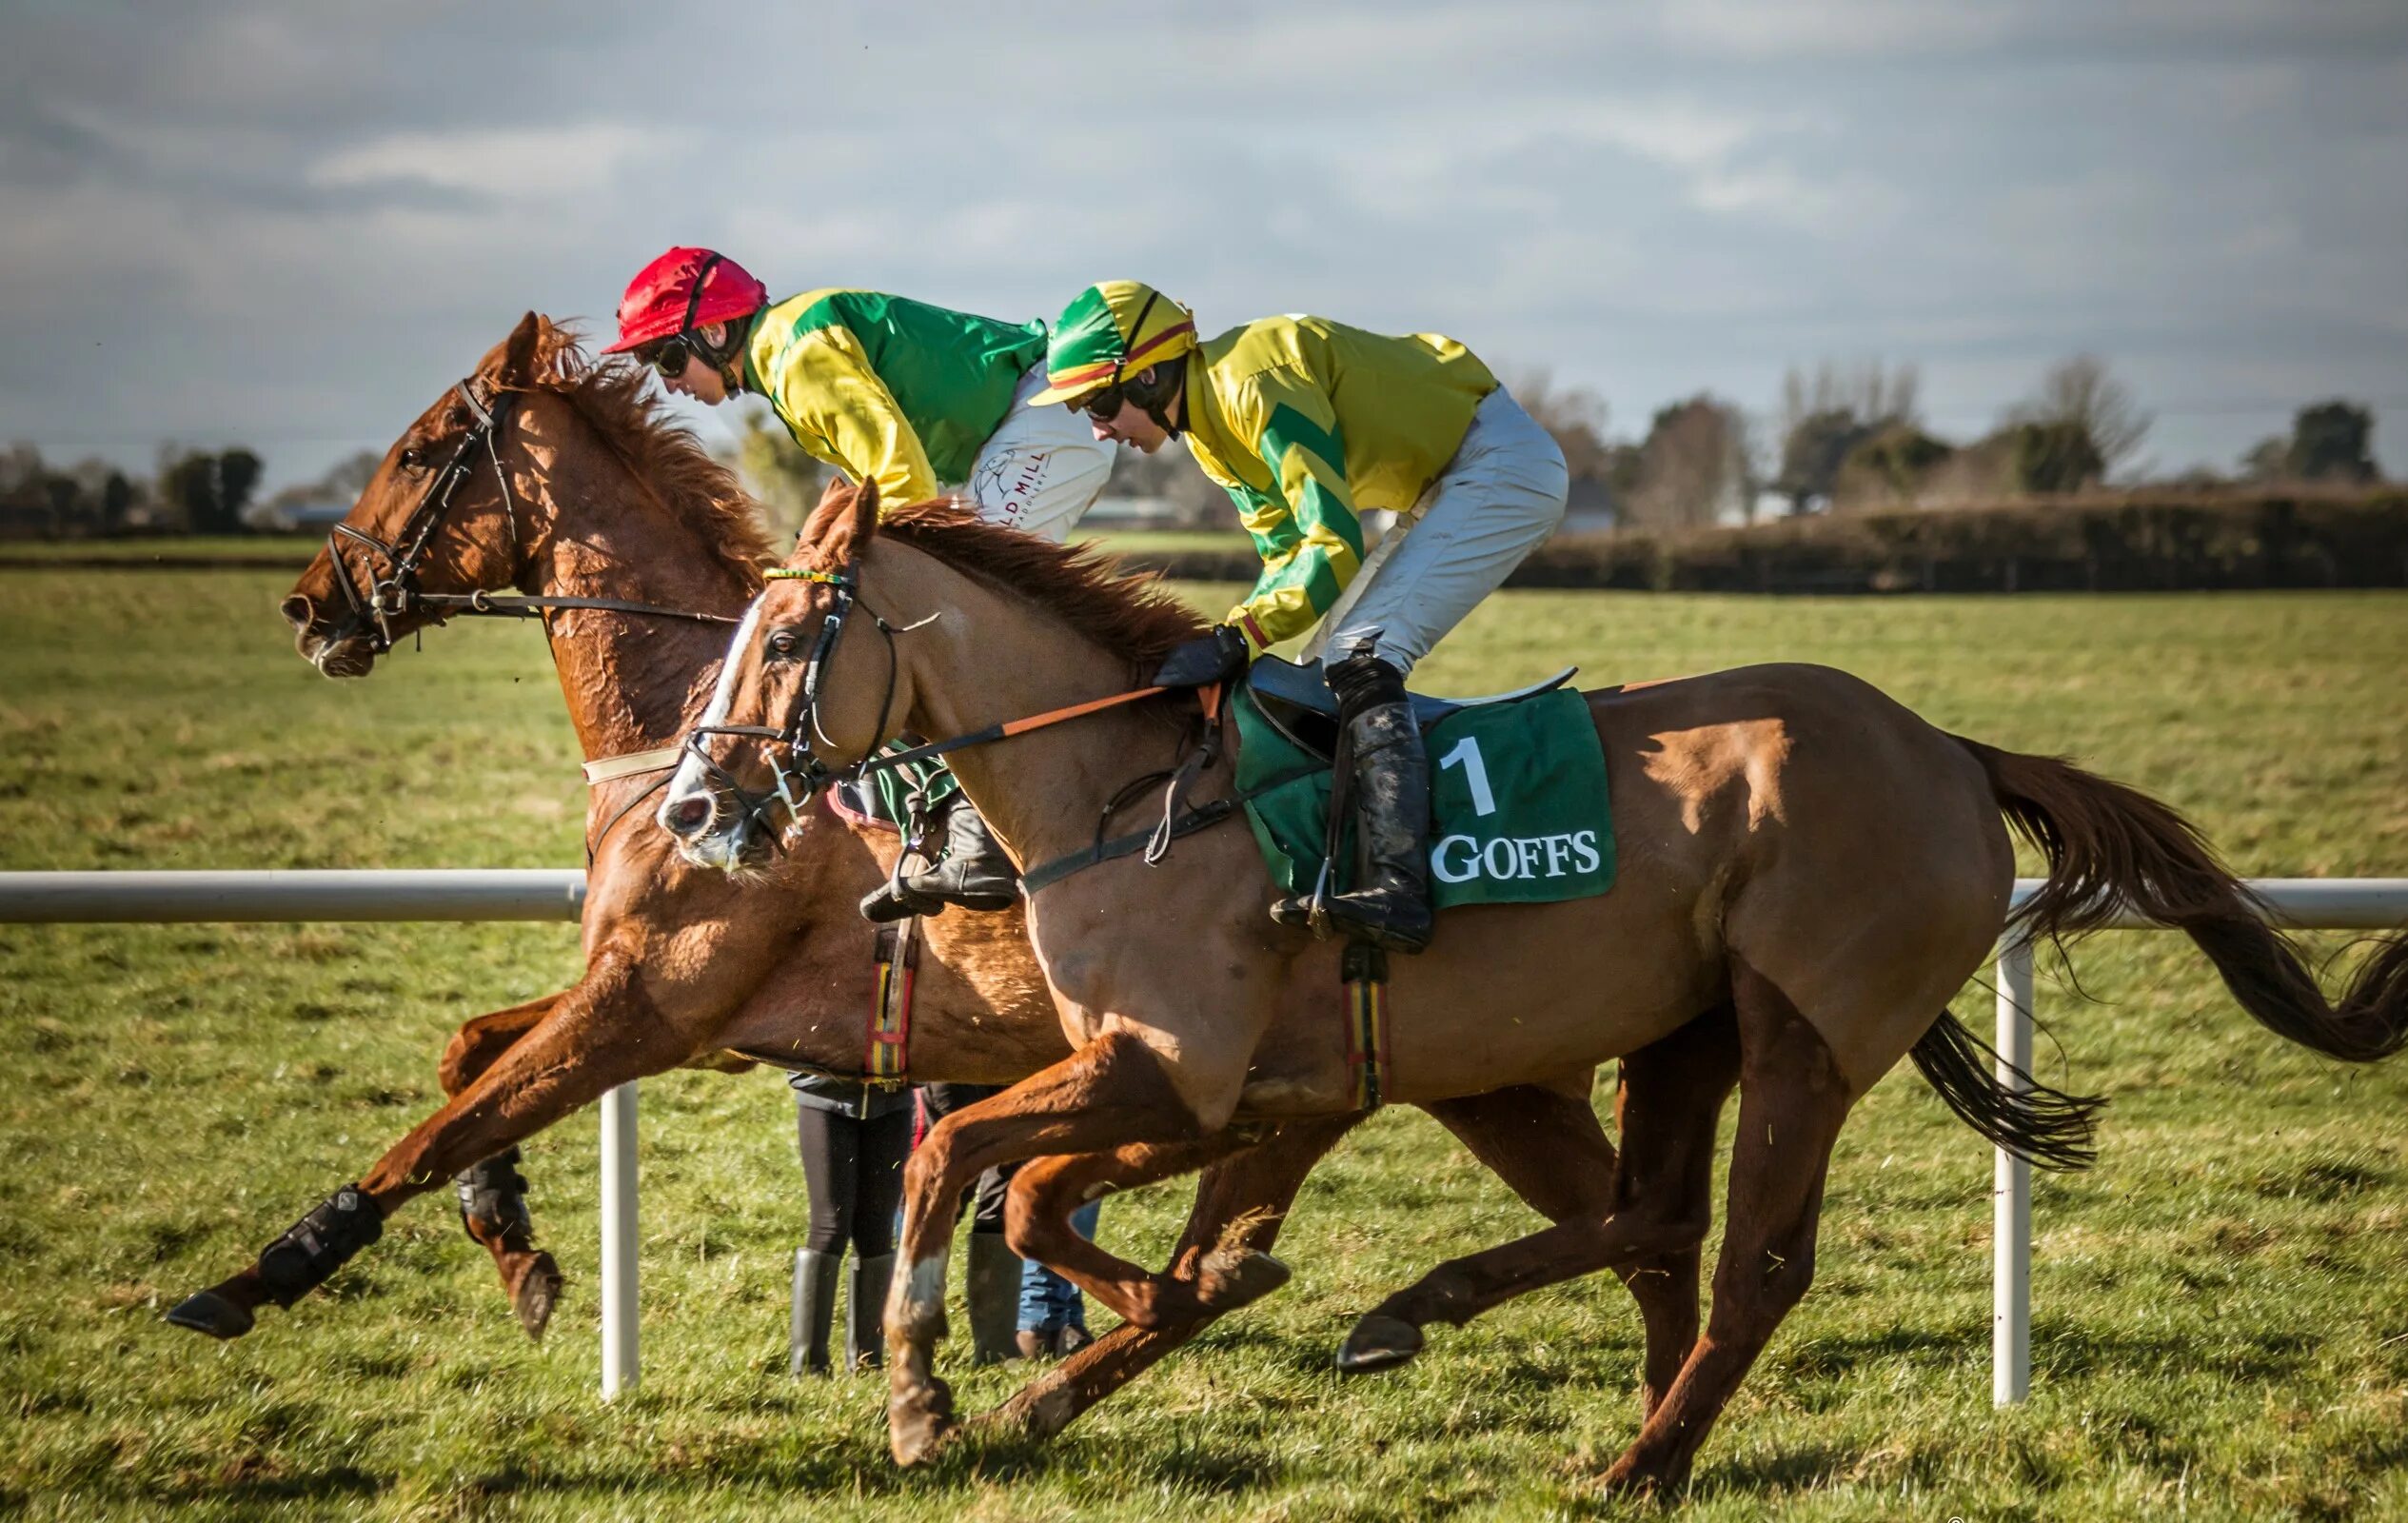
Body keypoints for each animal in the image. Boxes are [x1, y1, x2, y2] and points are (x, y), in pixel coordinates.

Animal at [178, 313, 1637, 1435]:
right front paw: (519, 1244)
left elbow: (440, 1124)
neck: (687, 730)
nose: (309, 605)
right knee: (1578, 1219)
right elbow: (467, 1060)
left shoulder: (665, 999)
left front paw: (260, 1276)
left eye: (420, 452)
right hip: (1432, 1076)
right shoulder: (686, 1011)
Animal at [674, 491, 2408, 1503]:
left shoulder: (1179, 1072)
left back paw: (1630, 1454)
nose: (696, 805)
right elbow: (1061, 1206)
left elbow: (955, 1161)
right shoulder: (1230, 1092)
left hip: (1800, 1030)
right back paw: (1521, 1362)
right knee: (1656, 1223)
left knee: (1750, 1258)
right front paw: (1063, 1374)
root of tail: (1953, 750)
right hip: (1665, 1041)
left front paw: (925, 1407)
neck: (1130, 784)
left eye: (788, 635)